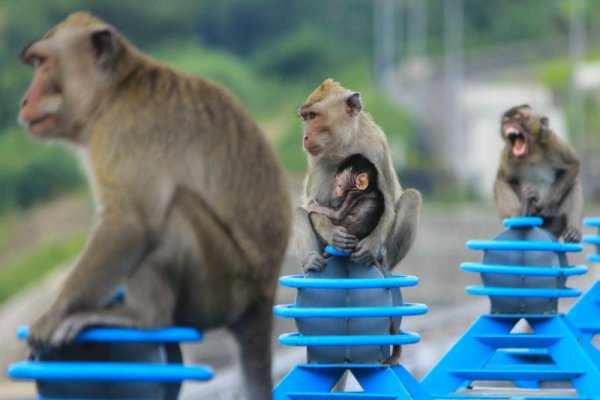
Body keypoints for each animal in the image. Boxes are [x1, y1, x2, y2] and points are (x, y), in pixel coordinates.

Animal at [18, 10, 290, 398]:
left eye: (43, 63)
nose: (24, 100)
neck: (114, 92)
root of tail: (263, 293)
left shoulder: (124, 132)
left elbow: (129, 224)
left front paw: (52, 316)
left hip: (222, 287)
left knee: (173, 212)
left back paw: (143, 318)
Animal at [292, 78, 420, 272]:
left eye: (313, 116)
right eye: (305, 117)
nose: (305, 137)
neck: (344, 146)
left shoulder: (376, 145)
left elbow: (388, 202)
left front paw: (371, 246)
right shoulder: (316, 159)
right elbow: (313, 204)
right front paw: (331, 233)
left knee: (412, 197)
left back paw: (383, 260)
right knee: (299, 212)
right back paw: (312, 262)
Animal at [492, 103, 580, 242]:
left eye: (518, 118)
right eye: (506, 120)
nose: (509, 123)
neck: (532, 151)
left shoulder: (551, 141)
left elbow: (573, 165)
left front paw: (548, 205)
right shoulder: (508, 153)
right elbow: (504, 180)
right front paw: (528, 206)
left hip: (553, 222)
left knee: (574, 184)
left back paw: (573, 230)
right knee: (499, 184)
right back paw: (522, 213)